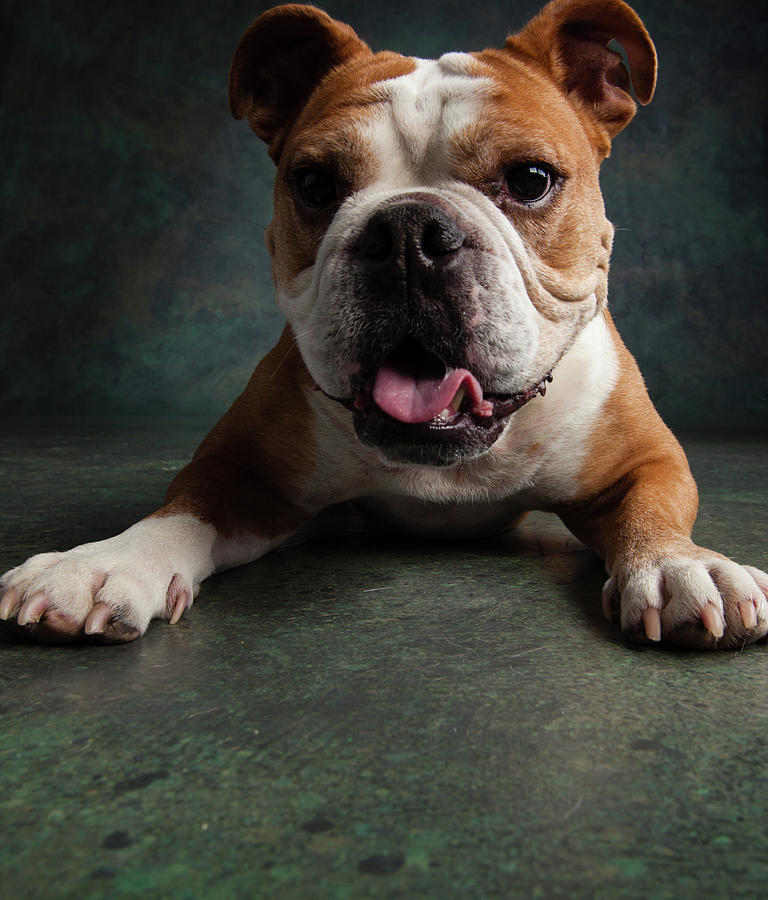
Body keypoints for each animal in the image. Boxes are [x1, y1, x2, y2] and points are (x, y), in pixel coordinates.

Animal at [1, 0, 768, 648]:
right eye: (314, 185)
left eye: (529, 179)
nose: (408, 233)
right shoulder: (240, 471)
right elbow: (181, 509)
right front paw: (105, 563)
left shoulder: (646, 462)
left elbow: (653, 512)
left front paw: (679, 566)